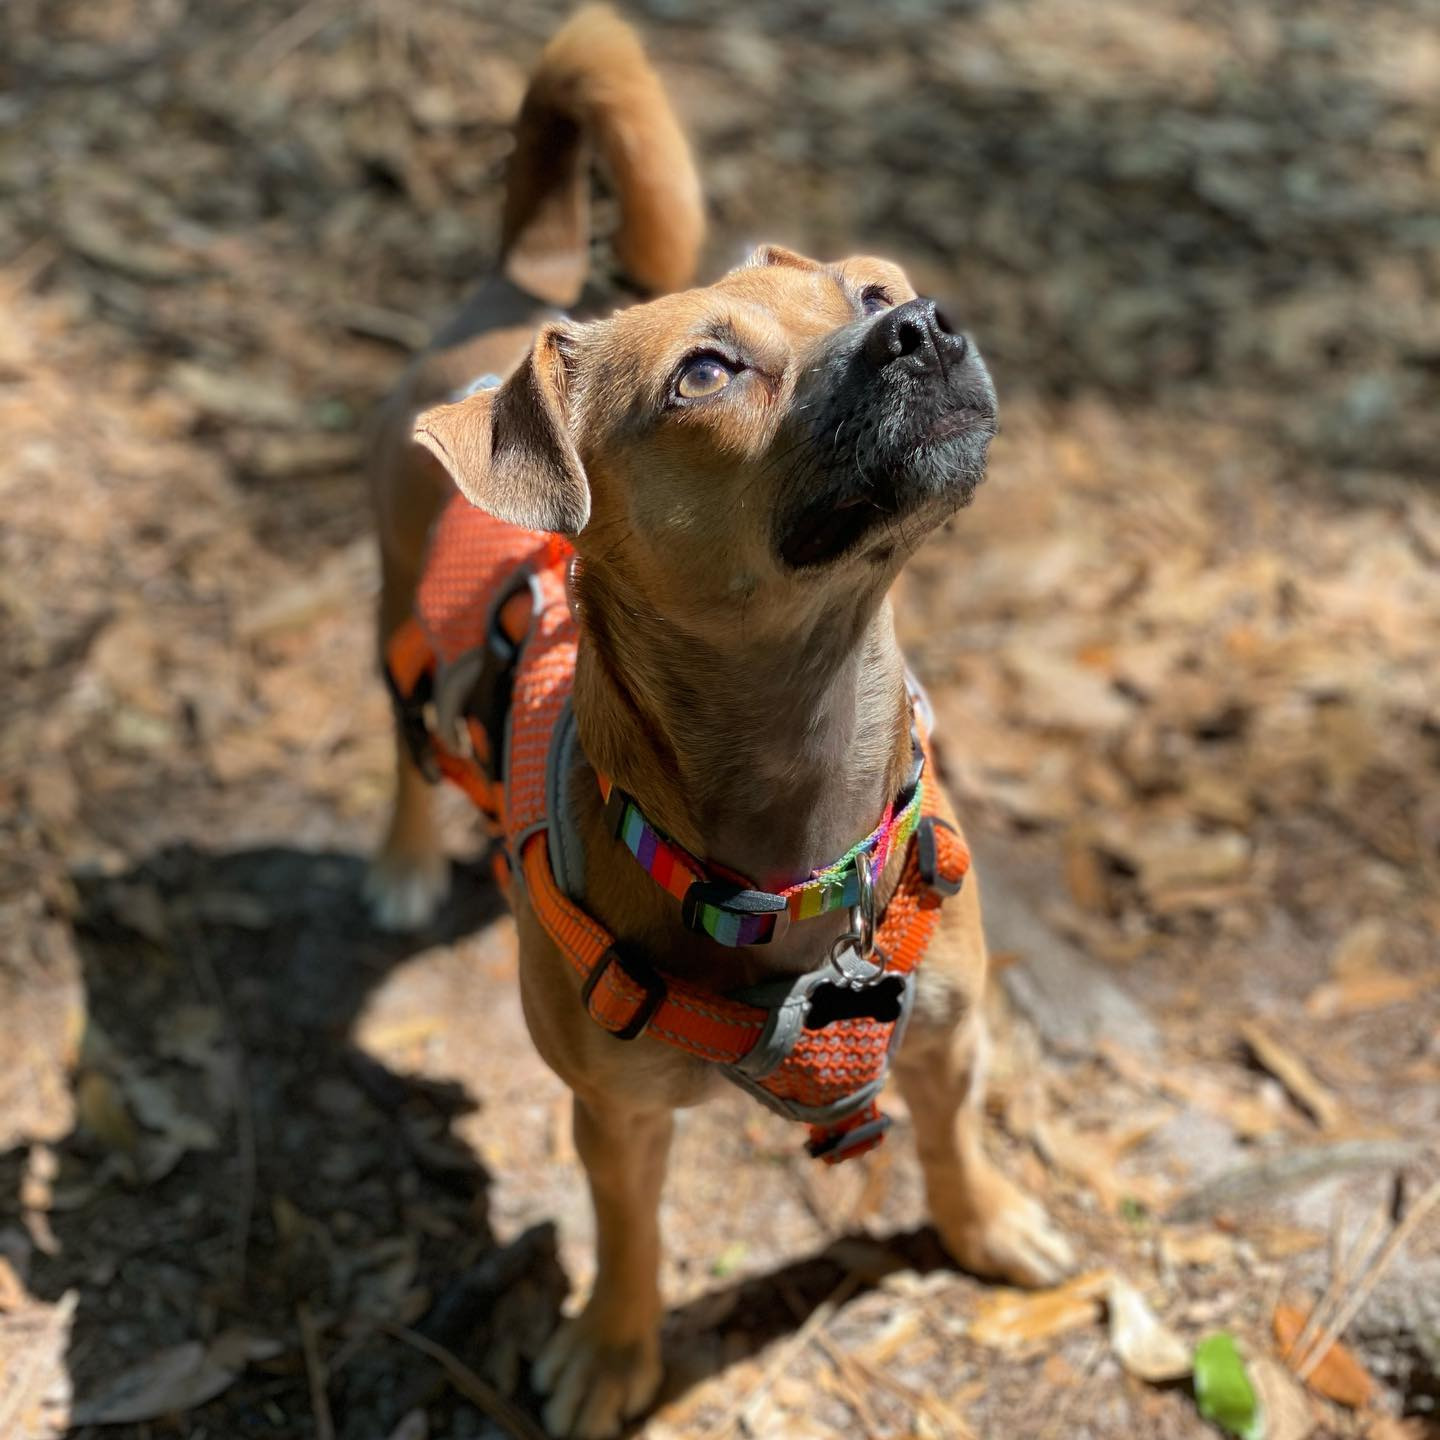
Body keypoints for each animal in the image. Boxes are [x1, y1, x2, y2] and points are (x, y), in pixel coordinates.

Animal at [365, 8, 1077, 1428]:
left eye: (869, 299)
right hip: (392, 609)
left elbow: (951, 1135)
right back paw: (408, 861)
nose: (924, 324)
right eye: (706, 372)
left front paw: (982, 1221)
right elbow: (630, 1233)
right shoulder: (616, 1118)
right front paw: (615, 1349)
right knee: (409, 745)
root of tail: (519, 288)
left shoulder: (950, 1038)